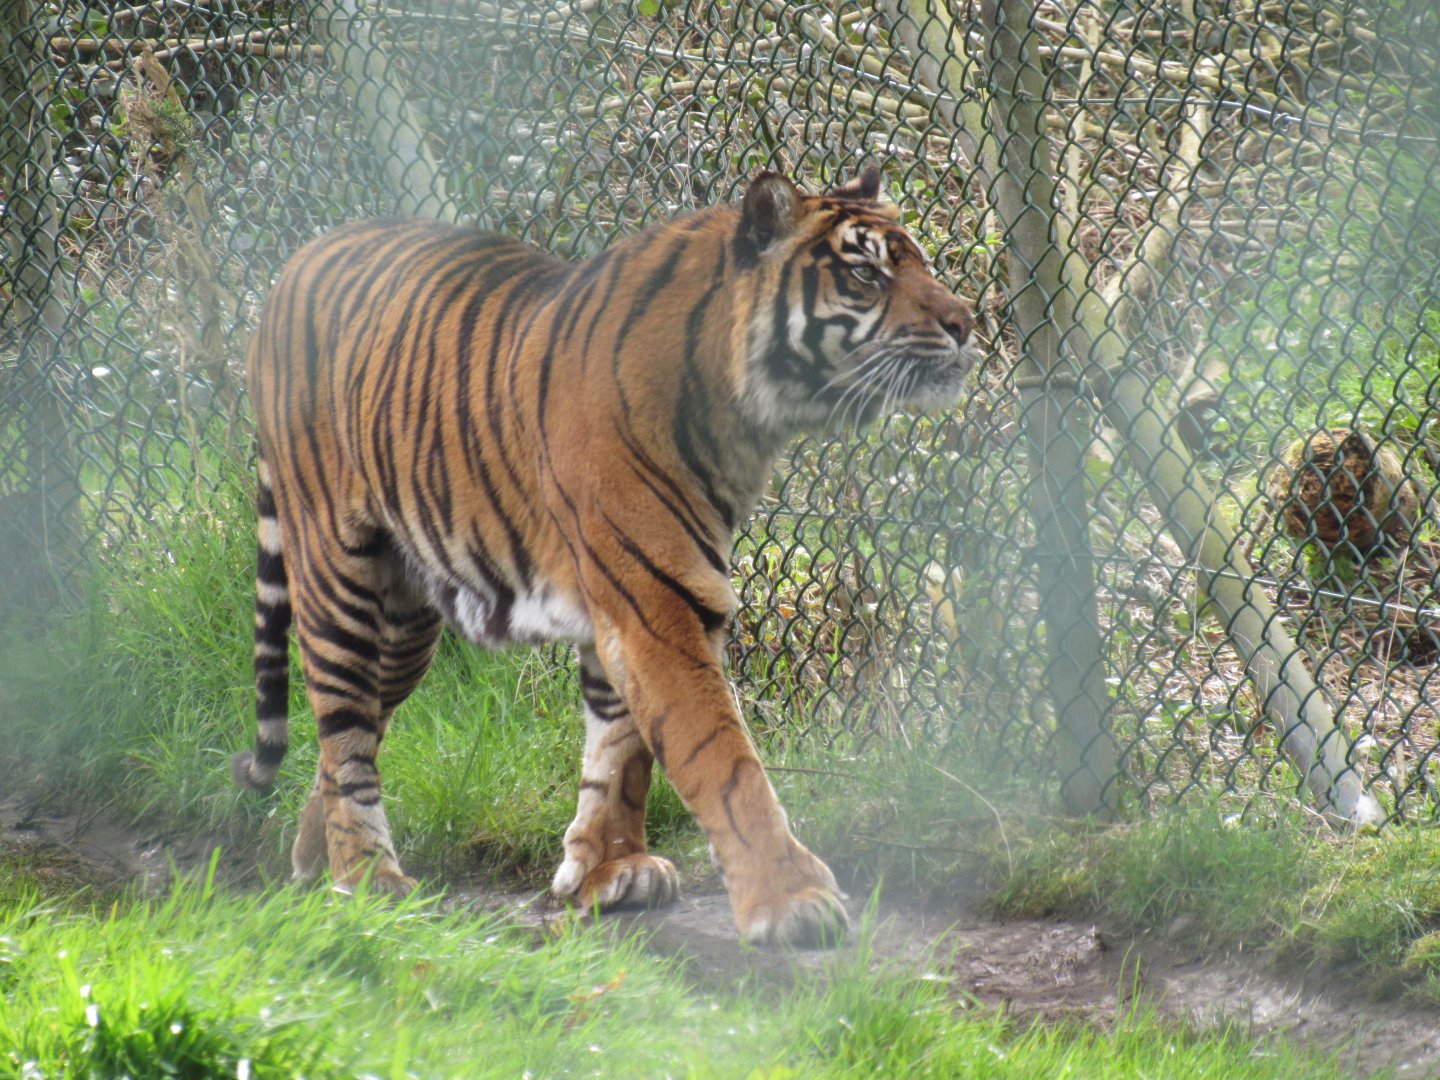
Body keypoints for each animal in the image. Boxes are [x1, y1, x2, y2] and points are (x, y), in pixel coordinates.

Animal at [232, 166, 978, 946]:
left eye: (920, 262)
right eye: (865, 273)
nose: (967, 321)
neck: (746, 421)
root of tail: (295, 263)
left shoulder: (636, 610)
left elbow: (621, 756)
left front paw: (607, 872)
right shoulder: (656, 605)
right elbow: (720, 759)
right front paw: (790, 897)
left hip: (406, 623)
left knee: (345, 734)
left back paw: (314, 859)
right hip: (337, 578)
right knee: (342, 727)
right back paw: (365, 874)